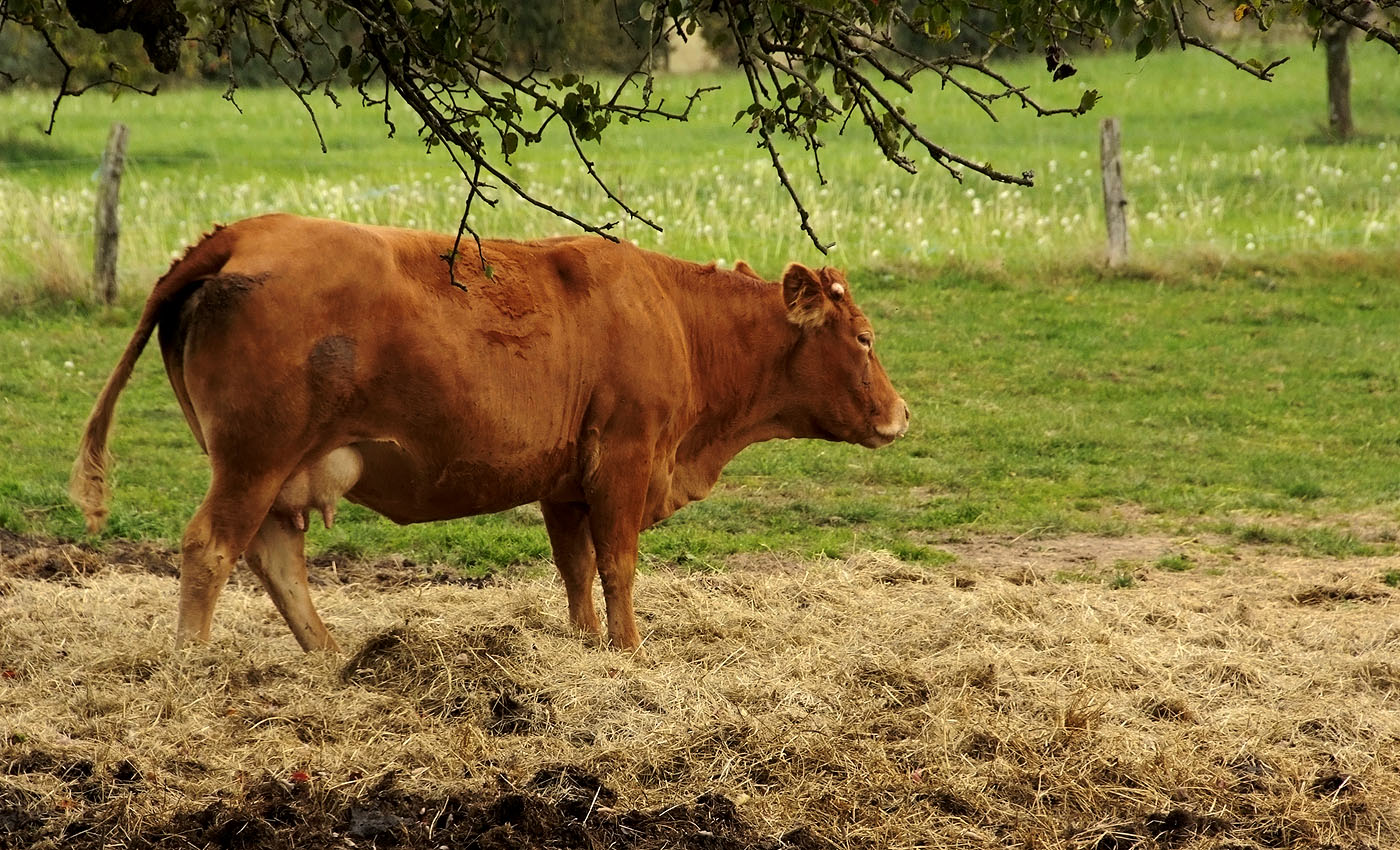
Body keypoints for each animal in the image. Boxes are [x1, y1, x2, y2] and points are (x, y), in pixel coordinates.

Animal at [71, 214, 907, 652]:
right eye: (865, 338)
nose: (901, 414)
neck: (672, 315)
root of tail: (247, 231)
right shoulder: (625, 460)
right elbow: (619, 566)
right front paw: (630, 651)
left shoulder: (566, 483)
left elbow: (576, 571)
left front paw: (586, 644)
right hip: (253, 460)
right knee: (211, 548)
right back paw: (193, 663)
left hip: (277, 472)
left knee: (275, 558)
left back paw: (331, 658)